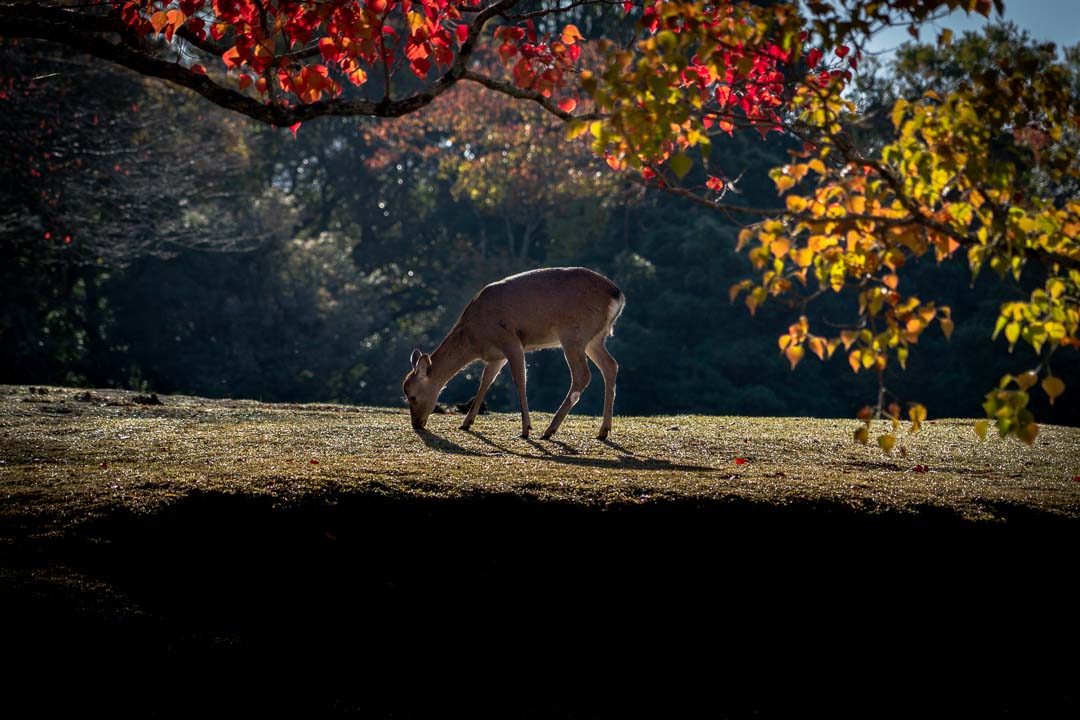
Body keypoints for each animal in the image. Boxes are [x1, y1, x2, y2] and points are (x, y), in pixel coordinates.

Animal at [406, 268, 626, 442]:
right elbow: (485, 381)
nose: (416, 424)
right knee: (611, 365)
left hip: (574, 334)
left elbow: (520, 380)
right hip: (594, 338)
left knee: (583, 375)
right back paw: (603, 431)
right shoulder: (497, 356)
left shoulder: (510, 340)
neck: (474, 338)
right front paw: (466, 422)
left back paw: (549, 430)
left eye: (412, 396)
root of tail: (618, 295)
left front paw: (526, 429)